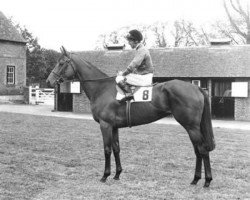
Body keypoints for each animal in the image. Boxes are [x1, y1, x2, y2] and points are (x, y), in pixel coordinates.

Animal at [46, 46, 215, 188]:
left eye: (61, 63)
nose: (49, 81)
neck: (102, 89)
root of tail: (195, 87)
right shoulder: (114, 127)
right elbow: (116, 148)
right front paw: (117, 174)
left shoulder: (105, 125)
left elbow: (107, 149)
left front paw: (105, 176)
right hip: (192, 127)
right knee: (197, 151)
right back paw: (195, 179)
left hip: (191, 127)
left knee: (202, 150)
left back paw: (207, 181)